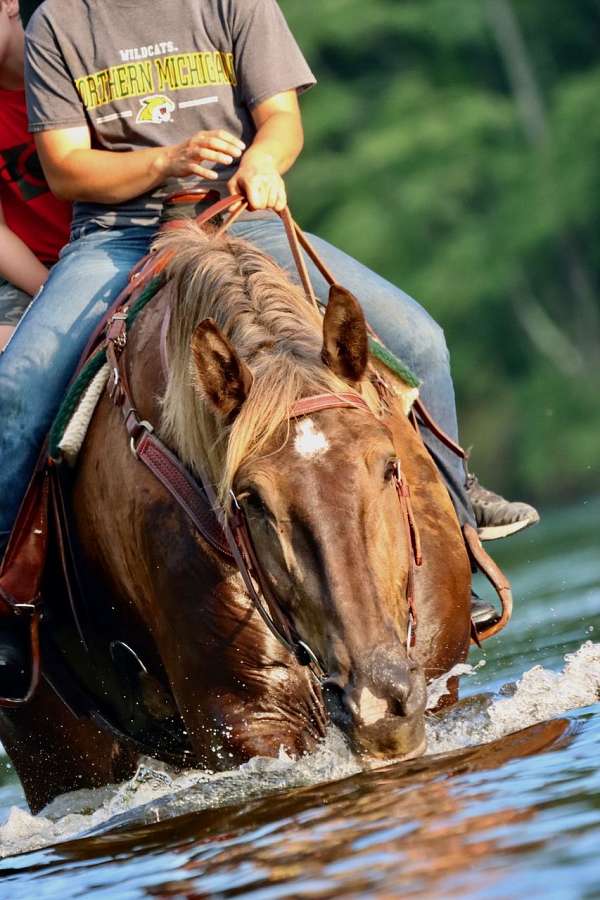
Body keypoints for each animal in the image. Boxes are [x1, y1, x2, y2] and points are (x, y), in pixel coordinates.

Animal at [0, 221, 472, 812]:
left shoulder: (436, 673)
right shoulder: (249, 721)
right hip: (57, 752)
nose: (377, 700)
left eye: (389, 464)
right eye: (250, 500)